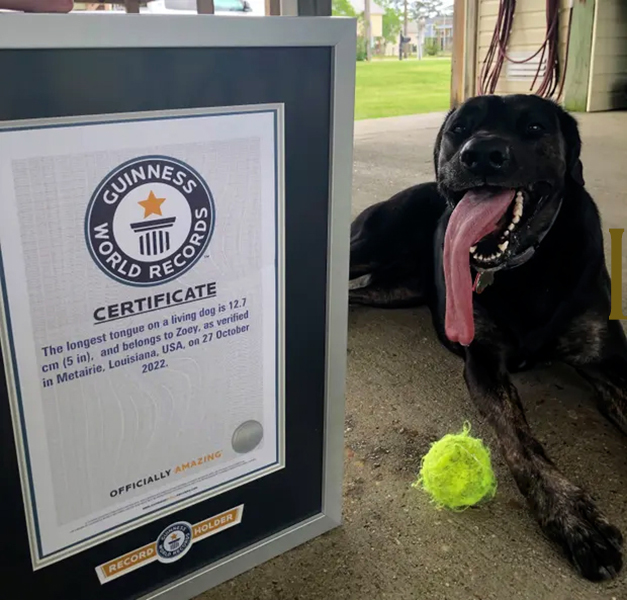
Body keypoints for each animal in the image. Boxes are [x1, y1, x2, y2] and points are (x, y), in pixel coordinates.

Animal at [348, 95, 627, 580]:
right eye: (459, 129)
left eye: (534, 127)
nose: (480, 154)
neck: (529, 268)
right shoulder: (483, 363)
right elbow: (521, 443)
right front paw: (574, 518)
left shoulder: (609, 361)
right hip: (368, 246)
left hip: (395, 291)